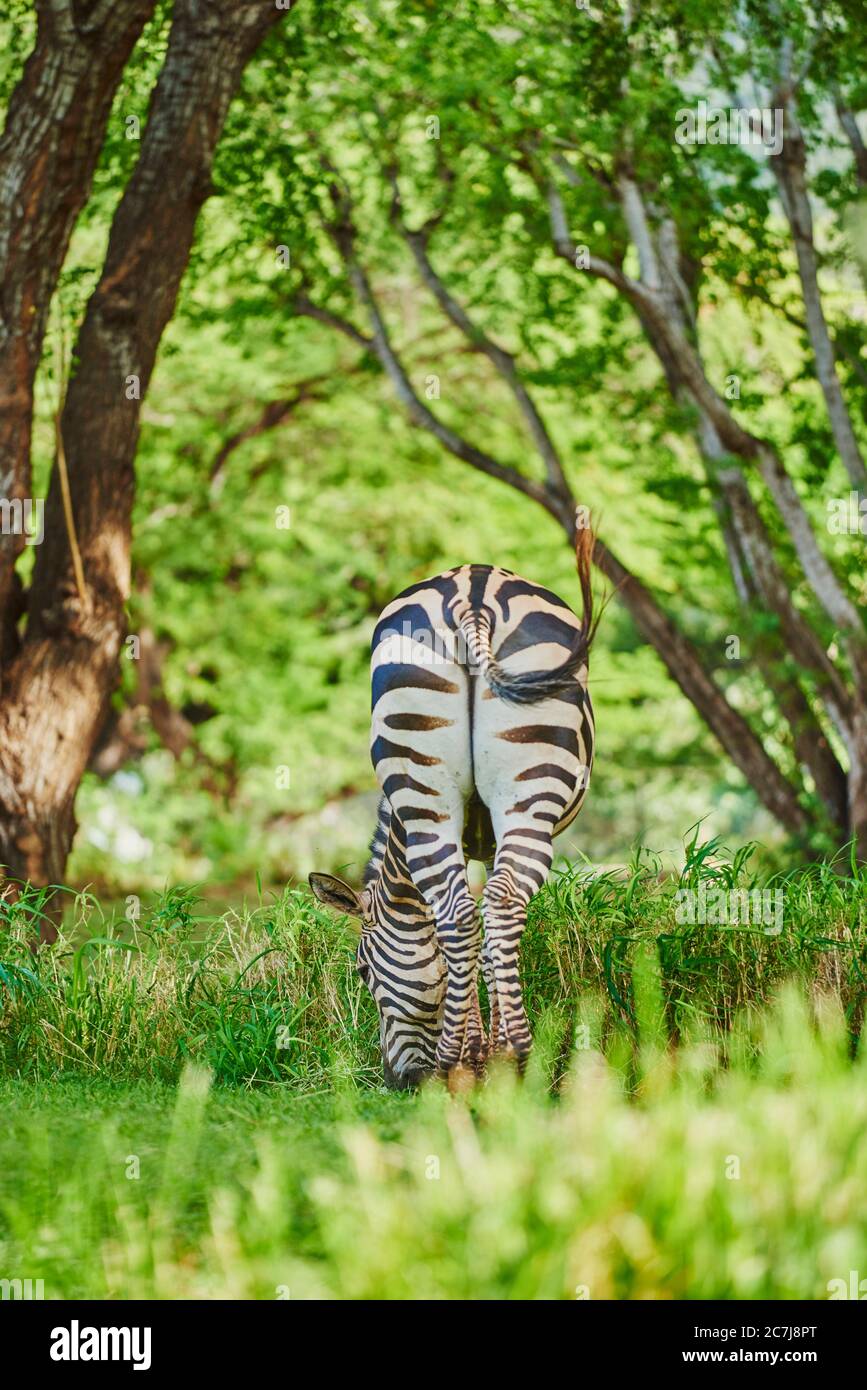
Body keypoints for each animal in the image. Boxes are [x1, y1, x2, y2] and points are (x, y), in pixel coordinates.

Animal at [310, 526, 596, 1088]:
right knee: (498, 904)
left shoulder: (468, 837)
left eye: (361, 971)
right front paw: (485, 1050)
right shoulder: (482, 835)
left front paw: (477, 1050)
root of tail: (472, 590)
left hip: (430, 789)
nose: (397, 1080)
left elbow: (468, 938)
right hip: (527, 793)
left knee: (461, 911)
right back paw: (508, 1058)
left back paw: (461, 1064)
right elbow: (483, 936)